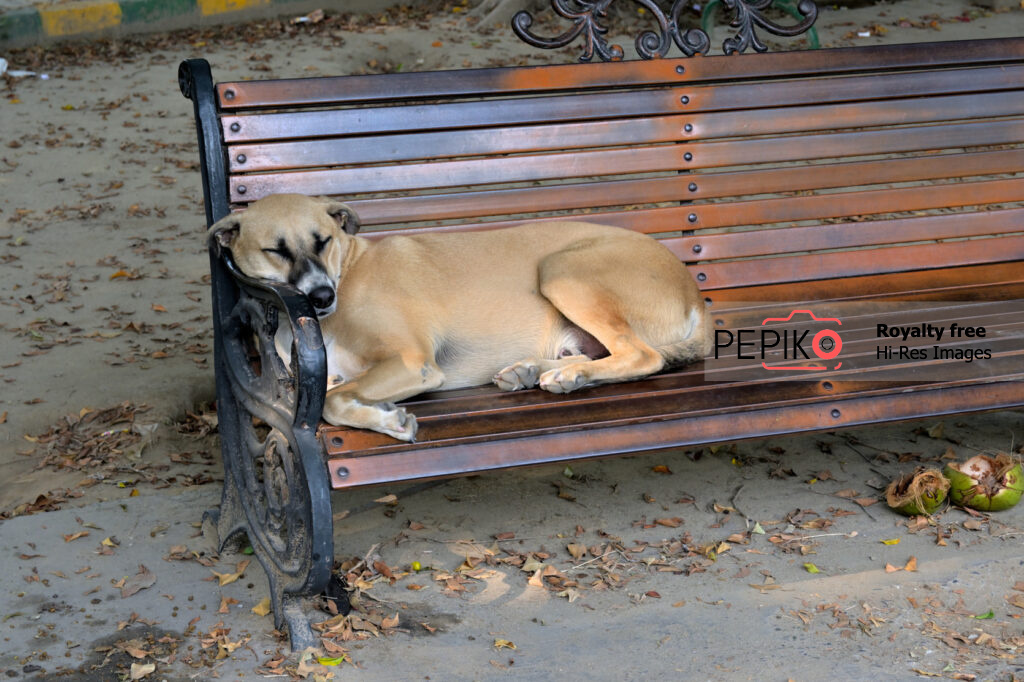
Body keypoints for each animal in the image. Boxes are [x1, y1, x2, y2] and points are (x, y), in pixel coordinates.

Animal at [207, 191, 704, 440]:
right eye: (275, 250)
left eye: (323, 240)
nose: (322, 296)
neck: (347, 273)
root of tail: (693, 288)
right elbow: (334, 394)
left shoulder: (412, 363)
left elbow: (332, 402)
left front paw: (387, 420)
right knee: (598, 354)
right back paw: (538, 371)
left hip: (562, 271)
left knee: (642, 355)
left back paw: (568, 376)